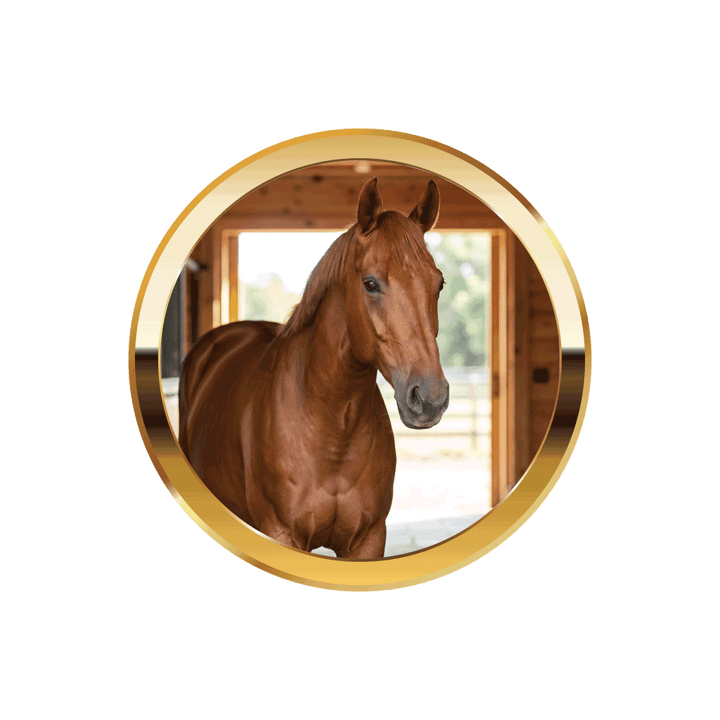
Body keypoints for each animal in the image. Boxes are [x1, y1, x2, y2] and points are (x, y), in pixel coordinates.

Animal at [179, 177, 449, 558]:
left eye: (438, 283)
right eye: (371, 283)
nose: (429, 399)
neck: (331, 428)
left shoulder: (367, 541)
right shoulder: (282, 534)